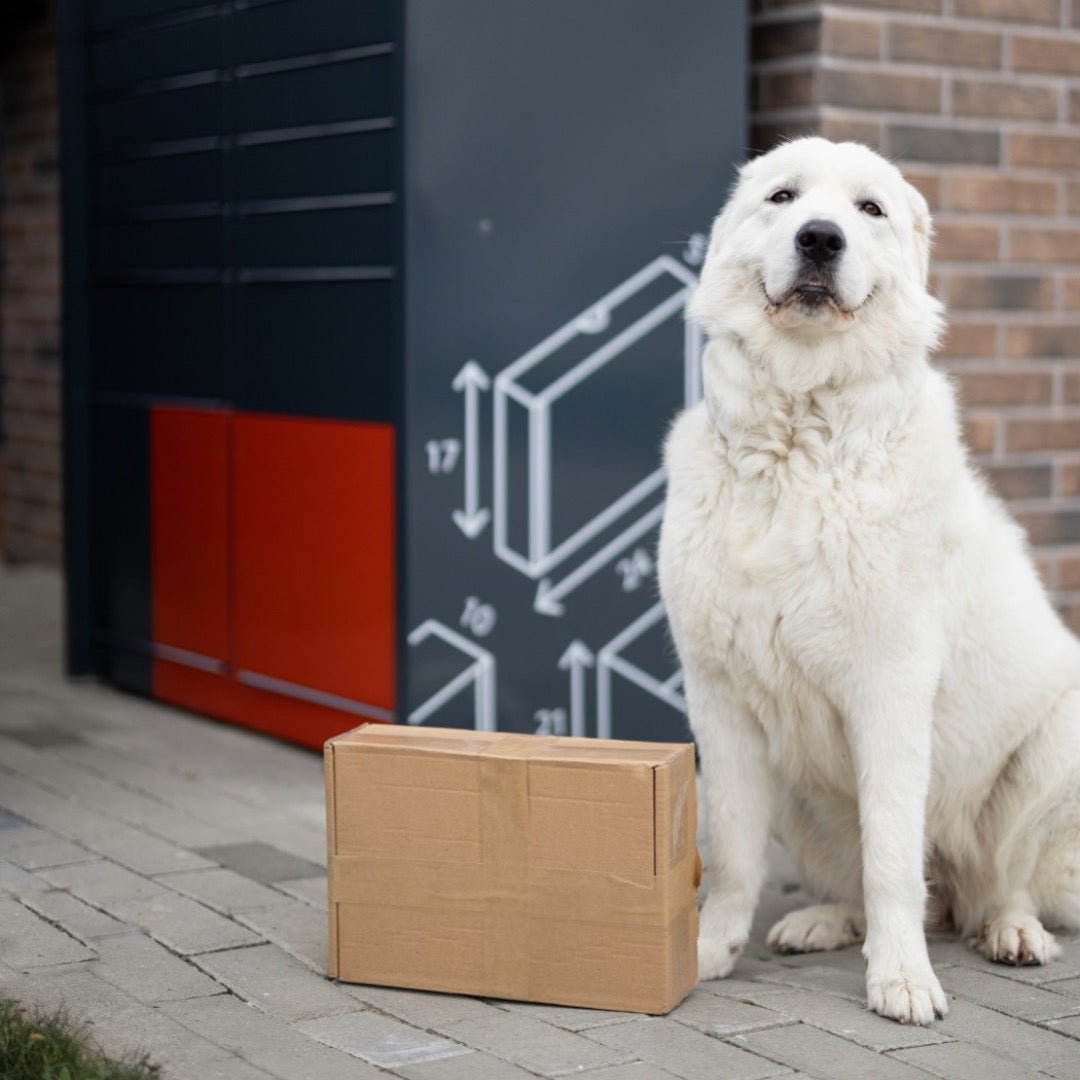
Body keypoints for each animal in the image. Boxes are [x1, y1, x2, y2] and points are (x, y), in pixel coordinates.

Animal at [656, 139, 1080, 1023]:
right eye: (784, 198)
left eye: (870, 210)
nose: (820, 238)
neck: (798, 444)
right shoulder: (721, 701)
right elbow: (733, 854)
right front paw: (707, 951)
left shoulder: (890, 691)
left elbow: (891, 853)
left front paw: (902, 980)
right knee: (896, 887)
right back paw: (822, 922)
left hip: (1058, 744)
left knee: (998, 878)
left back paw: (1011, 932)